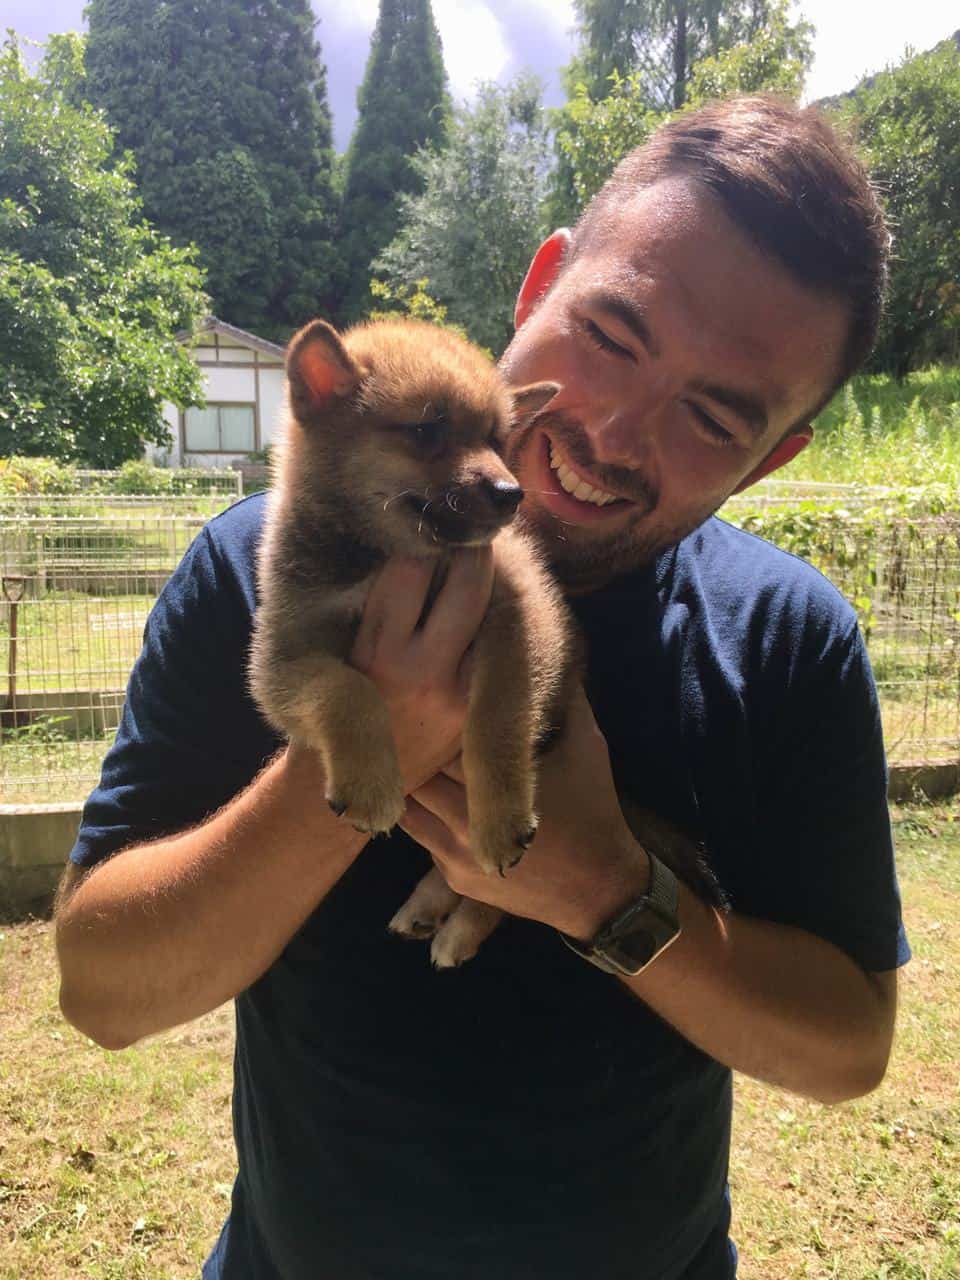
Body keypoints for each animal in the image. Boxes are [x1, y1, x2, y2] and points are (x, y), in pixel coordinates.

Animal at [249, 314, 578, 962]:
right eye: (427, 430)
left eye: (498, 440)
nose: (513, 494)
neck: (386, 556)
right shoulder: (283, 660)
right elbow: (348, 692)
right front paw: (369, 786)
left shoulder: (521, 619)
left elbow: (497, 721)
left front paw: (499, 818)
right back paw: (428, 910)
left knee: (494, 894)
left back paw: (458, 925)